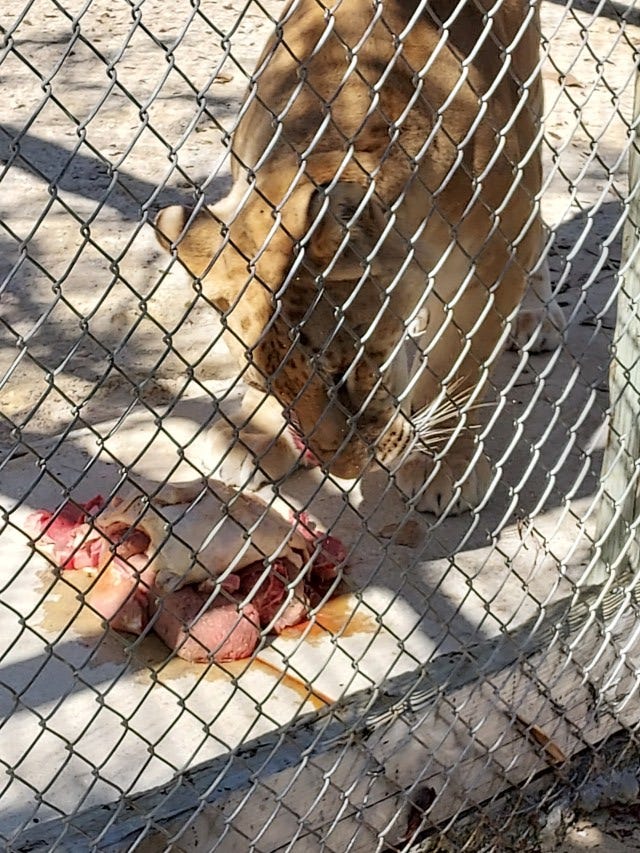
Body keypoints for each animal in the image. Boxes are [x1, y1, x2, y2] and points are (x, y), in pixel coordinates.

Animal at [155, 0, 565, 515]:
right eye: (265, 386)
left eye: (341, 375)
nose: (344, 472)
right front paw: (256, 437)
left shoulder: (487, 273)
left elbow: (459, 376)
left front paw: (442, 468)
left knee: (538, 217)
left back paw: (536, 315)